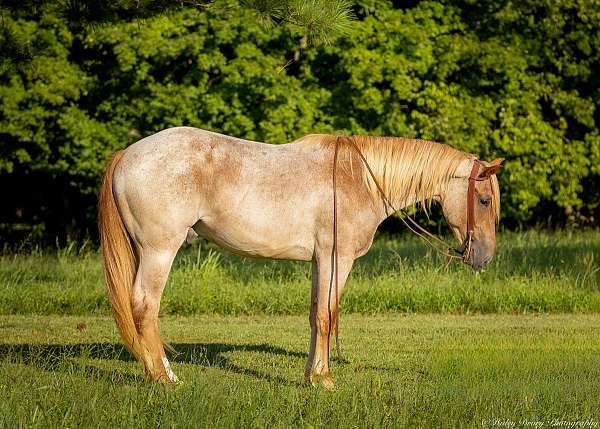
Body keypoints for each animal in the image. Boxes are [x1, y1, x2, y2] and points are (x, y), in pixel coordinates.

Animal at [97, 126, 502, 388]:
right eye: (484, 200)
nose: (484, 258)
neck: (359, 180)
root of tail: (127, 154)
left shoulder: (320, 261)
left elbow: (314, 315)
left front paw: (312, 375)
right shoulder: (337, 259)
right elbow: (328, 315)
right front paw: (324, 380)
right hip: (159, 251)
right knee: (145, 307)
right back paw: (164, 379)